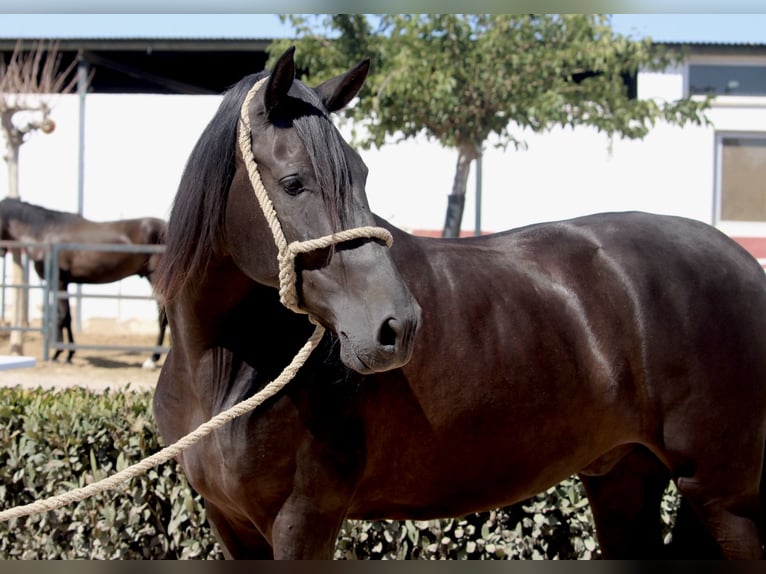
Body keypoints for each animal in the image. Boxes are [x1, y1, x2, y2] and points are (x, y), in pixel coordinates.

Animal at [0, 198, 168, 366]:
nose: (2, 252)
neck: (46, 232)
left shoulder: (58, 282)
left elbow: (62, 317)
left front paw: (59, 354)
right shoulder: (64, 284)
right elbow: (66, 317)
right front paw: (67, 354)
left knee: (163, 317)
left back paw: (152, 359)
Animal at [150, 47, 766, 560]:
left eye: (363, 173)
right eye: (294, 182)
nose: (396, 326)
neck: (223, 367)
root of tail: (745, 263)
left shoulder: (303, 523)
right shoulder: (230, 524)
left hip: (724, 498)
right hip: (624, 478)